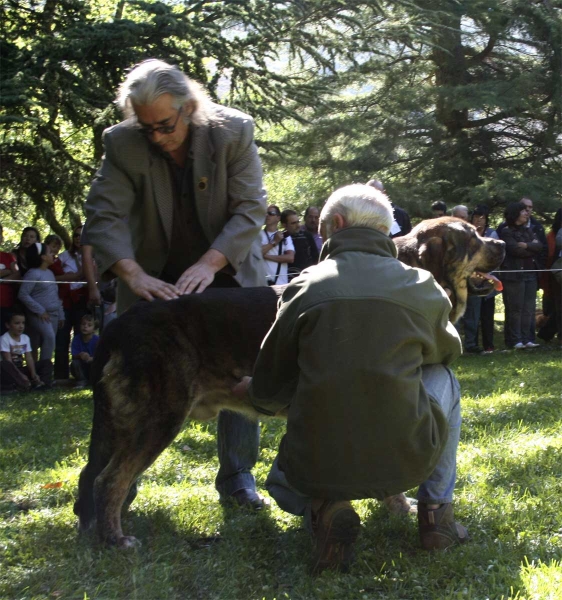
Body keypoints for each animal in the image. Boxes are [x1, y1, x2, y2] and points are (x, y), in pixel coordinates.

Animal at [73, 217, 504, 548]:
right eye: (471, 237)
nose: (500, 242)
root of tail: (118, 325)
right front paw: (398, 509)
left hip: (122, 423)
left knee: (95, 475)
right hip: (159, 418)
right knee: (110, 479)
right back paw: (115, 540)